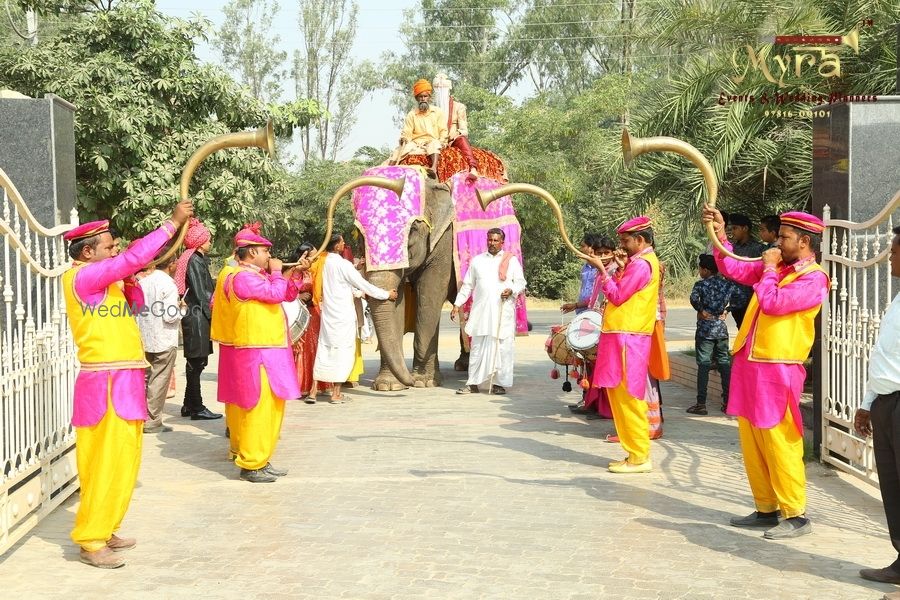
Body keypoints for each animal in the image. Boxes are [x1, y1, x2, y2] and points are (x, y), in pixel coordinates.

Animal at [346, 165, 528, 390]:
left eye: (413, 231)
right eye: (359, 235)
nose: (408, 380)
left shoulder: (444, 241)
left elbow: (430, 295)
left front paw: (423, 382)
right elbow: (397, 302)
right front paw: (389, 386)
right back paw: (463, 365)